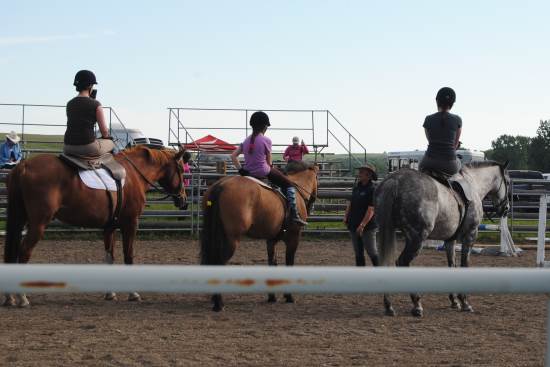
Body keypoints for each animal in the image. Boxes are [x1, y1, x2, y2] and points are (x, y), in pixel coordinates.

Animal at [3, 147, 190, 308]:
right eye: (181, 170)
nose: (183, 200)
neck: (133, 174)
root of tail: (24, 166)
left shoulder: (109, 228)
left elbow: (109, 258)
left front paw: (110, 294)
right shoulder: (130, 224)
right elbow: (128, 256)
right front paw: (133, 293)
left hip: (20, 220)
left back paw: (9, 297)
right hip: (38, 224)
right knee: (24, 252)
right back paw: (22, 298)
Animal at [201, 162, 320, 312]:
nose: (312, 206)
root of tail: (221, 186)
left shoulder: (271, 240)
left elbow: (272, 264)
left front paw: (272, 297)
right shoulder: (293, 238)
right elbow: (289, 263)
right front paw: (289, 296)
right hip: (231, 240)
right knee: (219, 263)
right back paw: (218, 303)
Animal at [378, 162, 512, 318]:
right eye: (508, 182)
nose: (506, 208)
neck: (474, 184)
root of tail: (395, 180)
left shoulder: (450, 241)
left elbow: (452, 266)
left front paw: (454, 301)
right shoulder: (470, 236)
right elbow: (464, 265)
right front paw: (465, 302)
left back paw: (389, 305)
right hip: (417, 239)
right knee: (402, 262)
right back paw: (417, 304)